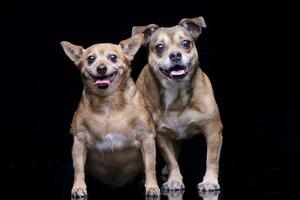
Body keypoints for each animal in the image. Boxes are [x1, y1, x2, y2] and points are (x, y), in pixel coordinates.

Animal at [59, 33, 161, 198]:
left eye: (113, 57)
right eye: (90, 59)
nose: (101, 68)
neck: (108, 103)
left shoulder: (147, 139)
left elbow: (150, 167)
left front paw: (152, 187)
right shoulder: (79, 142)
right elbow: (78, 168)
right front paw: (78, 187)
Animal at [134, 16, 223, 191]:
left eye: (186, 43)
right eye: (159, 47)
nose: (175, 55)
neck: (177, 95)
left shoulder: (213, 131)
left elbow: (211, 158)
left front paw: (210, 181)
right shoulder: (162, 136)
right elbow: (172, 160)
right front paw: (174, 179)